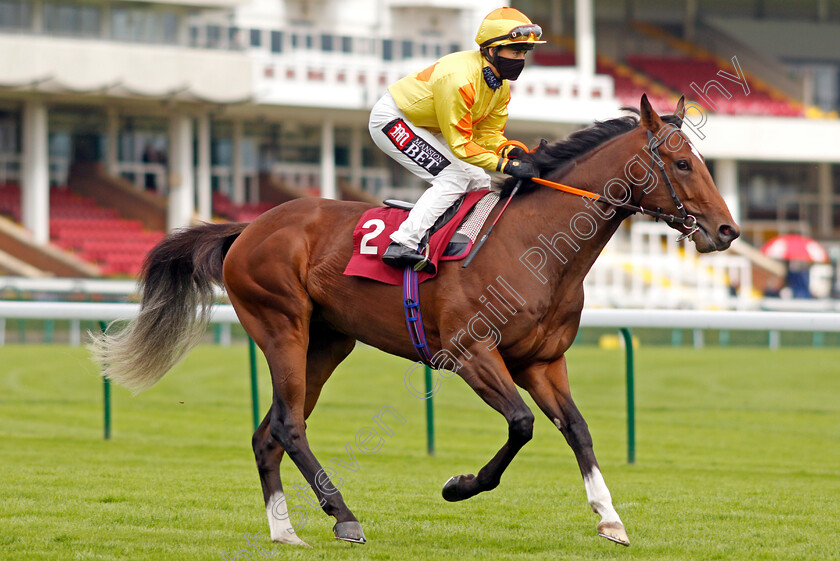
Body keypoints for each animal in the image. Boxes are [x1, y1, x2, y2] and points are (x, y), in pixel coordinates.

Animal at [88, 96, 740, 548]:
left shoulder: (542, 361)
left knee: (269, 430)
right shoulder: (472, 353)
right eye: (682, 163)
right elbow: (523, 425)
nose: (728, 230)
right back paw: (344, 517)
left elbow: (576, 429)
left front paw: (610, 519)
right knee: (289, 425)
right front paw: (459, 486)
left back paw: (284, 530)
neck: (535, 246)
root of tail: (248, 226)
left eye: (703, 162)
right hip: (281, 325)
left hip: (329, 341)